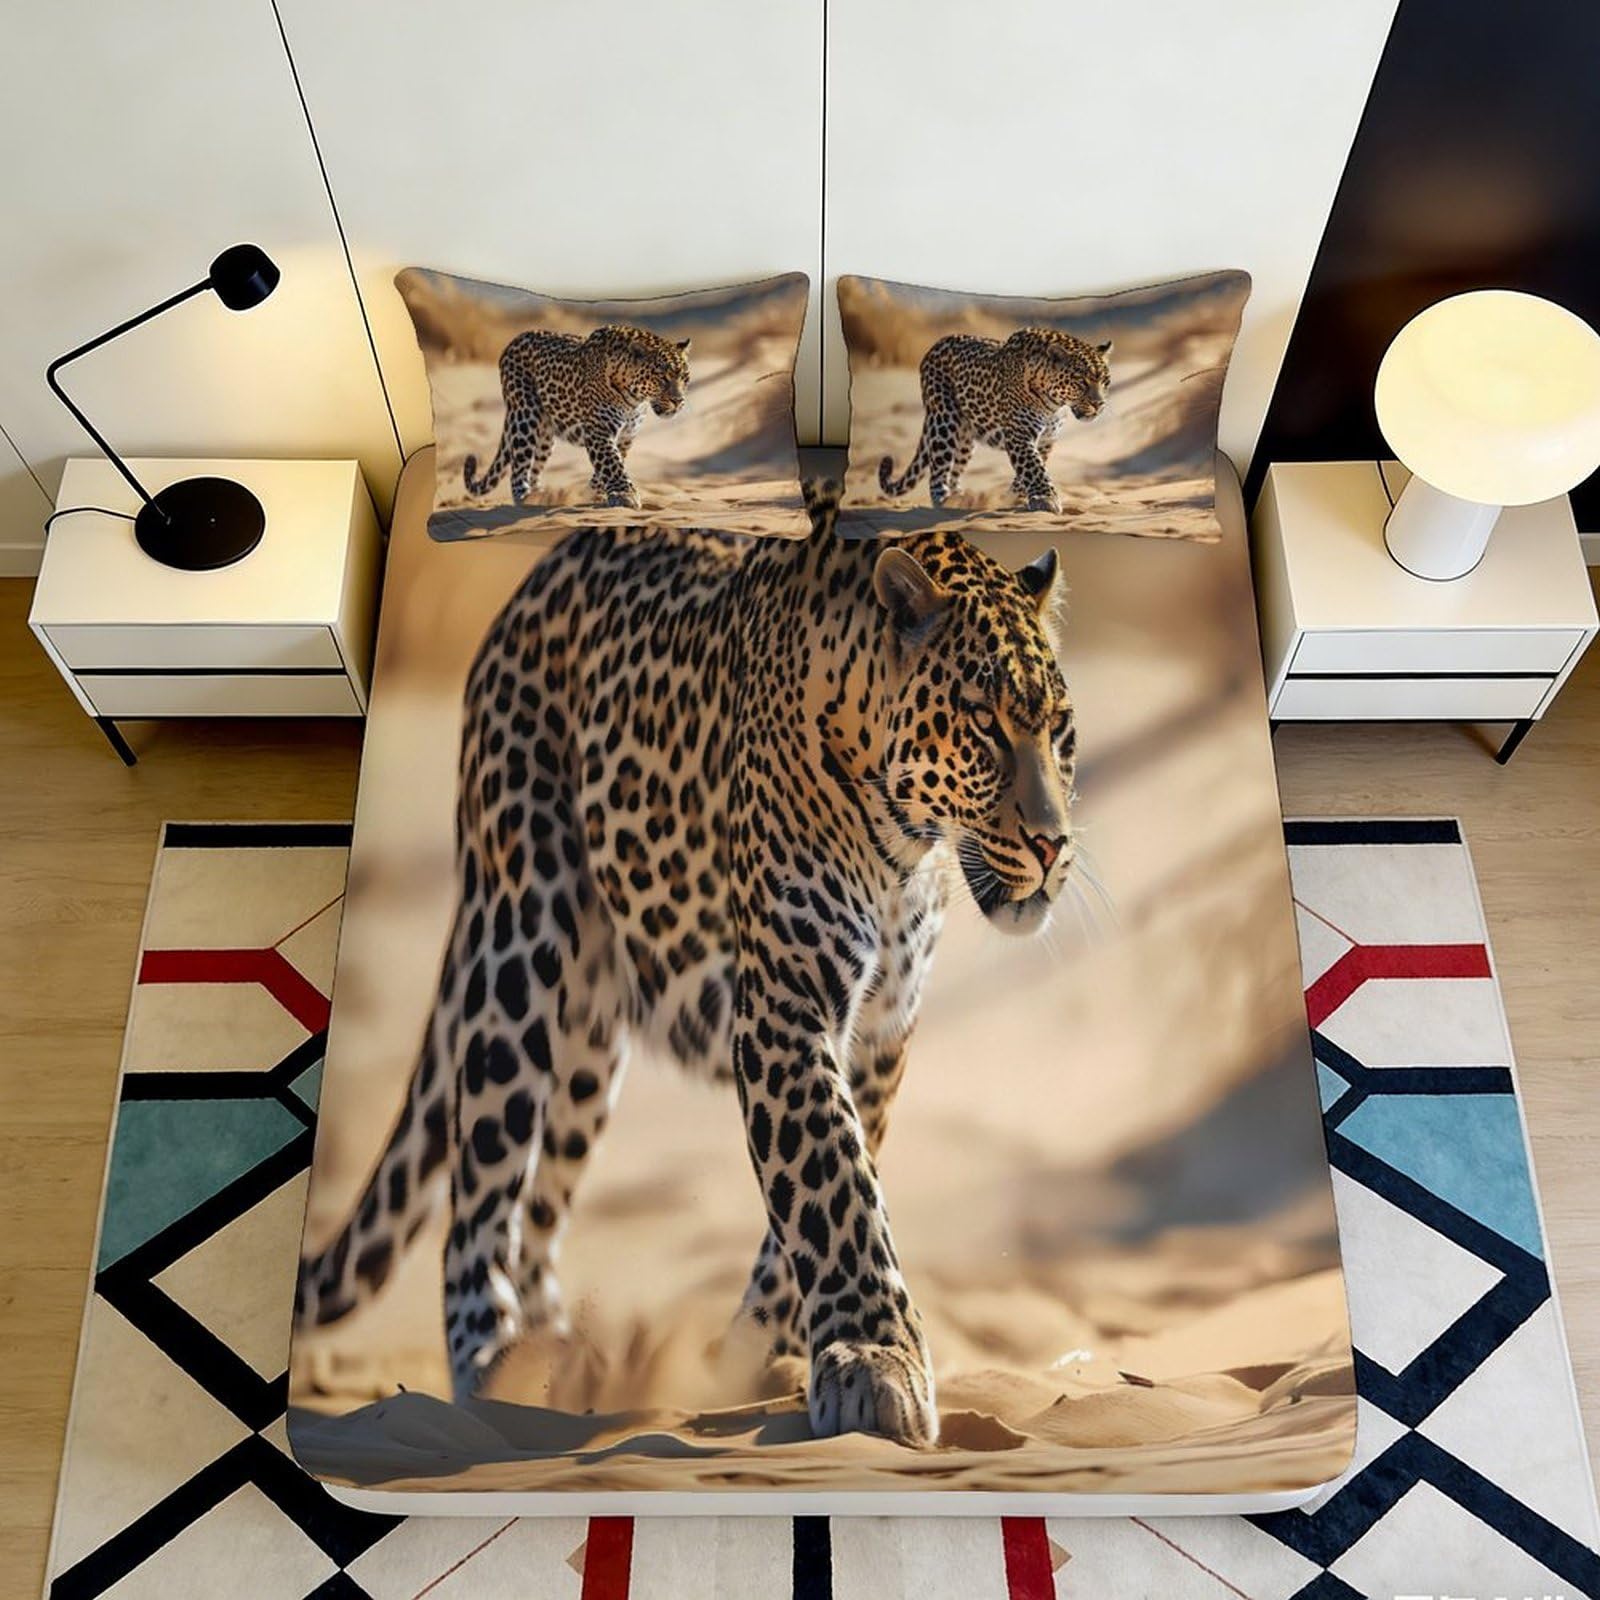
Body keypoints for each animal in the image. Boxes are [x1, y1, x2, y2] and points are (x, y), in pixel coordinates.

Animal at [296, 483, 1078, 1448]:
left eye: (1060, 729)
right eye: (985, 725)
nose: (1053, 845)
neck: (909, 848)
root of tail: (534, 584)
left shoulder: (880, 1033)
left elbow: (816, 1192)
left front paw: (755, 1357)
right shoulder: (786, 1006)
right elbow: (835, 1183)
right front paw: (875, 1363)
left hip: (590, 1041)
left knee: (540, 1208)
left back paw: (561, 1362)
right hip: (518, 950)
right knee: (479, 1190)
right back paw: (493, 1366)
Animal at [462, 323, 691, 510]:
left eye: (685, 378)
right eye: (662, 378)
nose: (678, 400)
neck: (635, 400)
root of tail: (512, 342)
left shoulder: (627, 436)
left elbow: (611, 463)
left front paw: (594, 492)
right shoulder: (599, 429)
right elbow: (611, 462)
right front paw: (625, 495)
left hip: (545, 436)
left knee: (535, 465)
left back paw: (541, 495)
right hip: (525, 416)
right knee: (519, 466)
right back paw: (525, 497)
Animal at [879, 327, 1112, 514]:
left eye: (1106, 382)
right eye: (1081, 382)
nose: (1099, 404)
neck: (1054, 405)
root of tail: (934, 346)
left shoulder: (1047, 440)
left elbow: (1030, 469)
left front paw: (1013, 497)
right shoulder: (1019, 434)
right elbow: (1033, 467)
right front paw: (1045, 499)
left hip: (965, 438)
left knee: (955, 468)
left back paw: (961, 498)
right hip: (944, 420)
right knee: (938, 468)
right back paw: (944, 501)